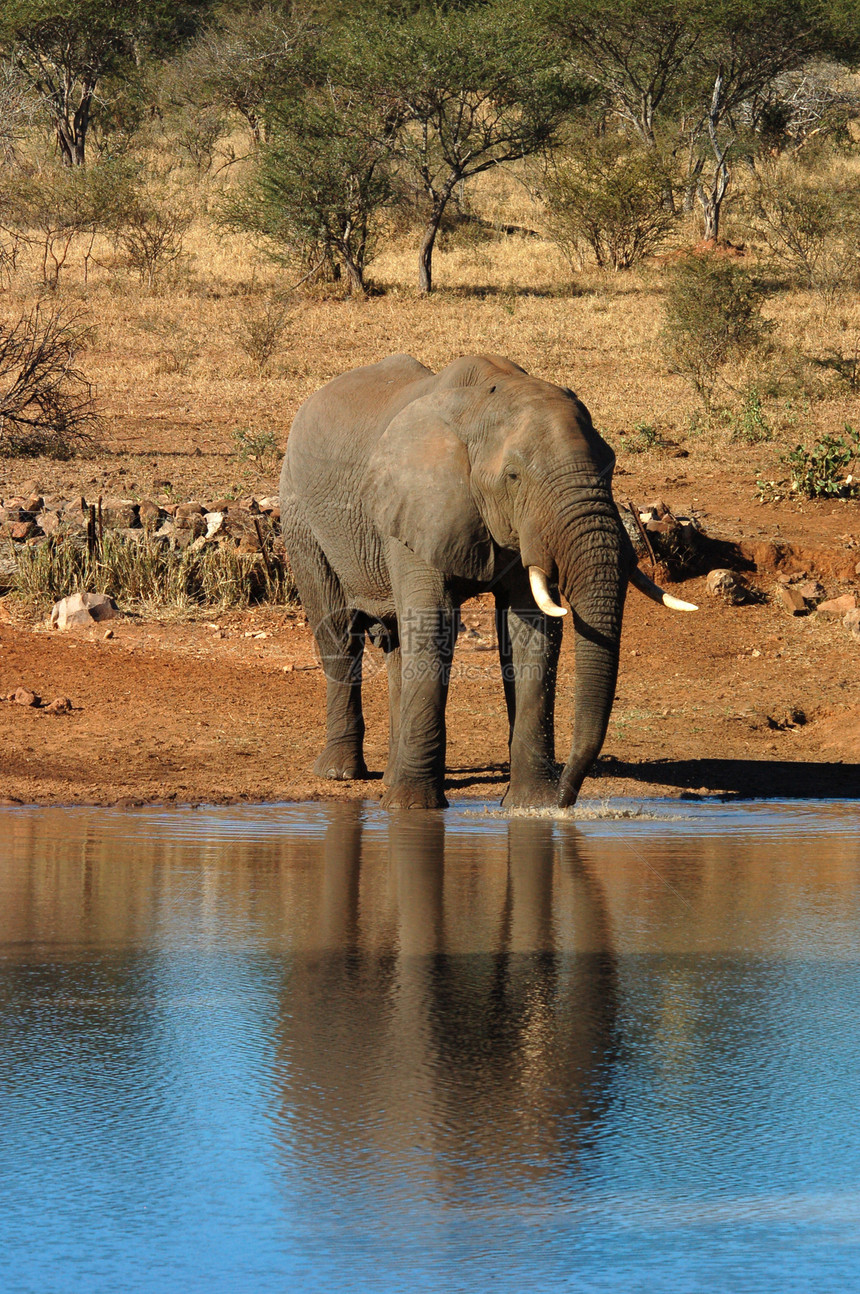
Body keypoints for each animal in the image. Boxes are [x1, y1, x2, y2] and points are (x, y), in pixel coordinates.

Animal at [278, 354, 693, 807]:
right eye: (513, 476)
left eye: (613, 466)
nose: (566, 796)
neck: (483, 404)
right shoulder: (417, 505)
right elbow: (434, 624)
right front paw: (413, 809)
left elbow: (531, 633)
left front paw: (531, 805)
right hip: (299, 514)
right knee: (339, 635)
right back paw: (341, 773)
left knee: (397, 646)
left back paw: (389, 777)